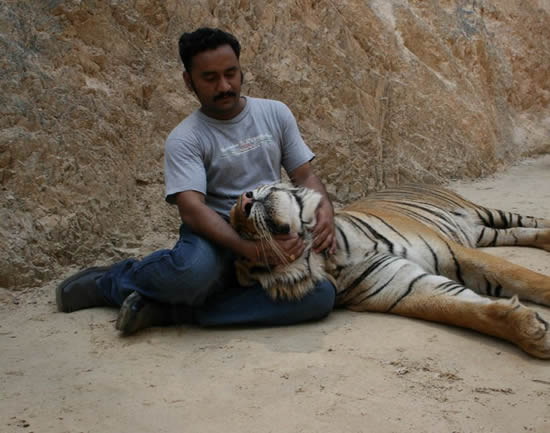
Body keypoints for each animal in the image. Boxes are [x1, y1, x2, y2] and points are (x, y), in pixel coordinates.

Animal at [231, 182, 550, 358]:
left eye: (238, 227)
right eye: (242, 236)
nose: (243, 201)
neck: (328, 257)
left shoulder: (453, 251)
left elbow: (522, 277)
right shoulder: (407, 287)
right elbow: (466, 311)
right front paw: (534, 333)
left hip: (484, 212)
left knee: (529, 221)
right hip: (485, 233)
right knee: (517, 233)